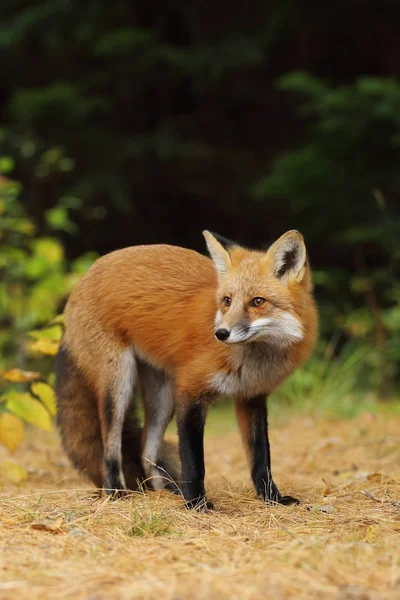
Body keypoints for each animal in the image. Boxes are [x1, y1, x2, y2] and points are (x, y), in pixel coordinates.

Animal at [57, 232, 318, 508]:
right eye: (227, 301)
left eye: (257, 301)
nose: (220, 334)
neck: (252, 362)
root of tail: (84, 276)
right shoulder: (190, 391)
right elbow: (194, 462)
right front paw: (196, 504)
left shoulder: (252, 397)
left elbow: (261, 458)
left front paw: (272, 498)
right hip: (119, 386)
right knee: (110, 450)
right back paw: (116, 493)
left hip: (163, 397)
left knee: (146, 451)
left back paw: (166, 493)